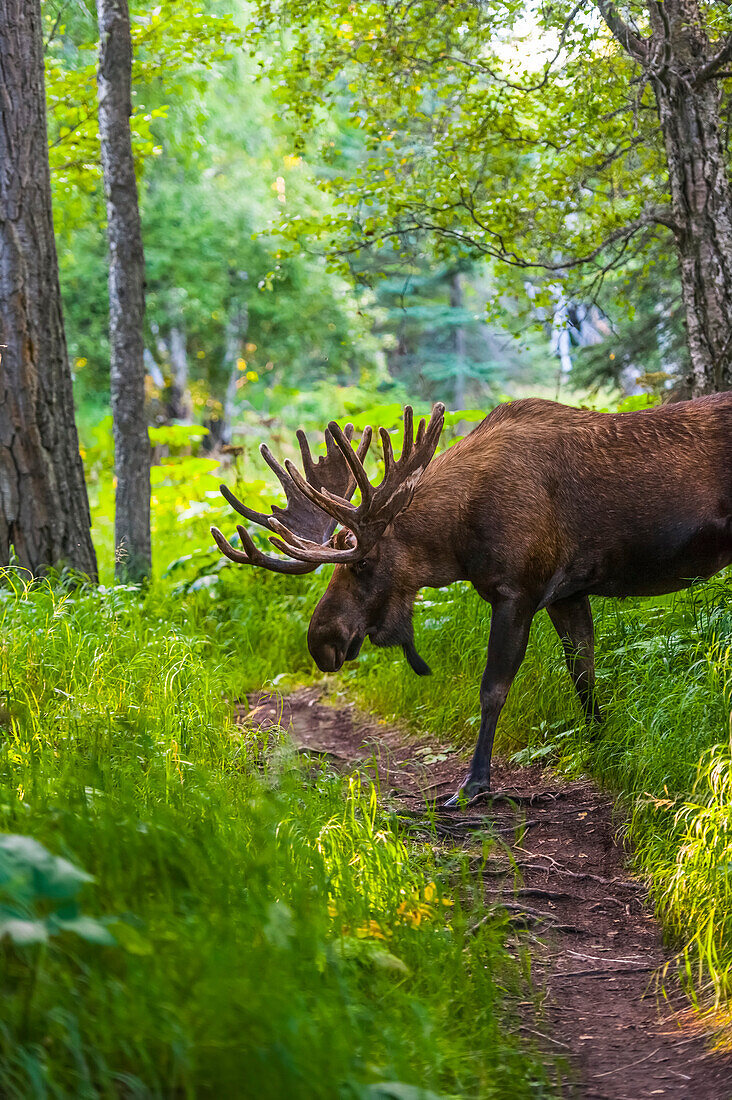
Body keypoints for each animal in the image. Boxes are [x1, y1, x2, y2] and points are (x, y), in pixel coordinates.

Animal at [211, 396, 730, 809]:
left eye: (362, 562)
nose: (321, 642)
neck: (457, 540)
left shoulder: (517, 590)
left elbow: (492, 689)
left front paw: (474, 784)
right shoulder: (568, 593)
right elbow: (584, 675)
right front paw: (603, 745)